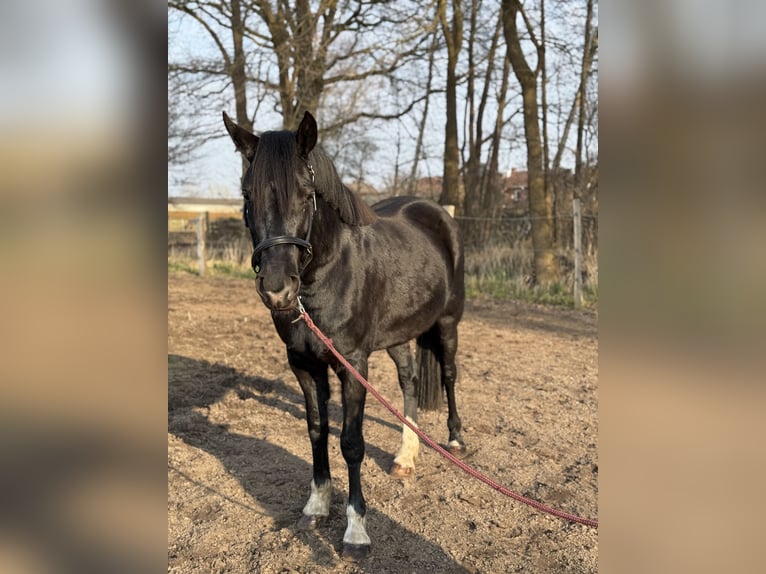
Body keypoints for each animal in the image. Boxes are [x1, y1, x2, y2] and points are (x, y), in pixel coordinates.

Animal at [219, 109, 464, 564]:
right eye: (247, 194)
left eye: (306, 193)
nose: (277, 290)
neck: (329, 272)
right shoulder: (303, 364)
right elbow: (317, 430)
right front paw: (316, 507)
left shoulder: (353, 363)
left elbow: (351, 442)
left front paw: (356, 532)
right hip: (398, 335)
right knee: (409, 381)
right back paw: (406, 456)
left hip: (448, 323)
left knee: (449, 375)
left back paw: (456, 438)